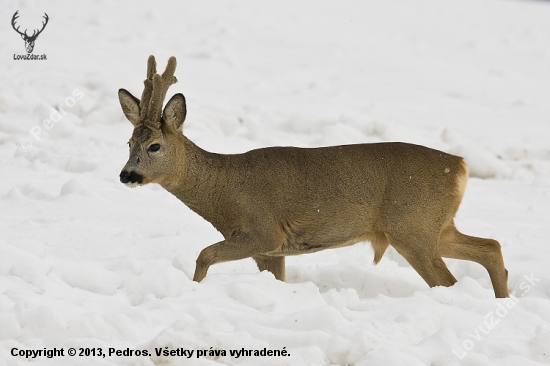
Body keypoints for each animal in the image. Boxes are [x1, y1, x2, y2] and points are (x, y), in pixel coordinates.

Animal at [118, 56, 512, 298]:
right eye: (128, 142)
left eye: (154, 146)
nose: (126, 175)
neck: (224, 190)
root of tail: (460, 166)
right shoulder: (272, 248)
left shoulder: (263, 230)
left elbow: (204, 255)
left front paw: (194, 290)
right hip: (433, 226)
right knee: (491, 247)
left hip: (412, 227)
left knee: (448, 280)